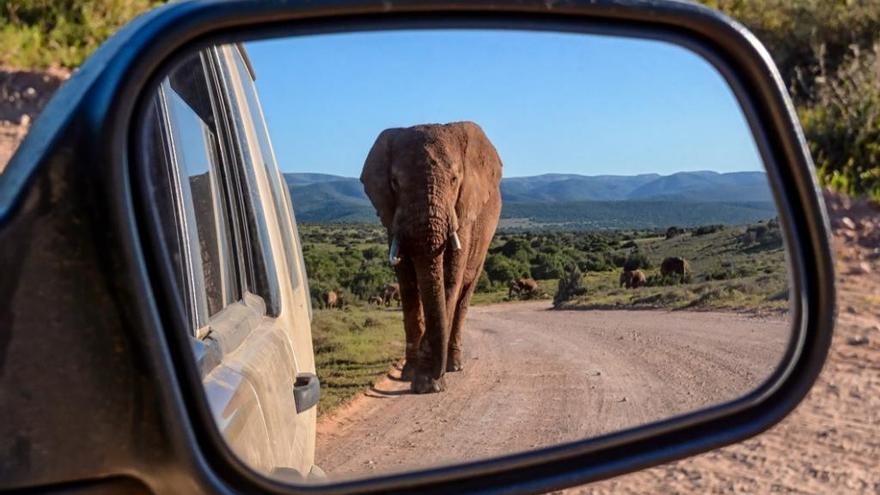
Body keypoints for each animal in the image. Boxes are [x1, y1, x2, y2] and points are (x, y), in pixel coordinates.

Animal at [360, 121, 502, 396]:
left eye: (455, 179)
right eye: (395, 183)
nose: (436, 378)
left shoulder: (463, 211)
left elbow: (450, 278)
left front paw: (427, 382)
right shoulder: (392, 218)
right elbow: (407, 282)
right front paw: (411, 374)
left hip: (484, 243)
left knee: (464, 295)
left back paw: (454, 365)